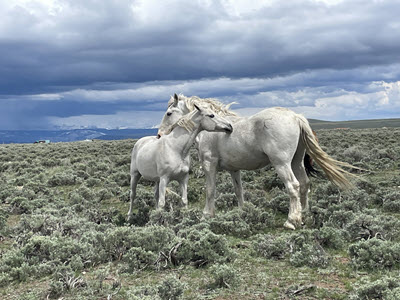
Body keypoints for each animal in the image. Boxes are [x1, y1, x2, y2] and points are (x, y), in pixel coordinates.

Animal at [158, 94, 354, 230]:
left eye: (168, 113)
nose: (159, 135)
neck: (209, 130)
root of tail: (295, 117)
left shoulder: (209, 165)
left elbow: (210, 190)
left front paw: (207, 214)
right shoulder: (234, 170)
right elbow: (239, 191)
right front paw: (243, 212)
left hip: (282, 164)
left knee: (293, 186)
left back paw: (292, 221)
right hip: (296, 162)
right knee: (305, 184)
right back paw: (303, 214)